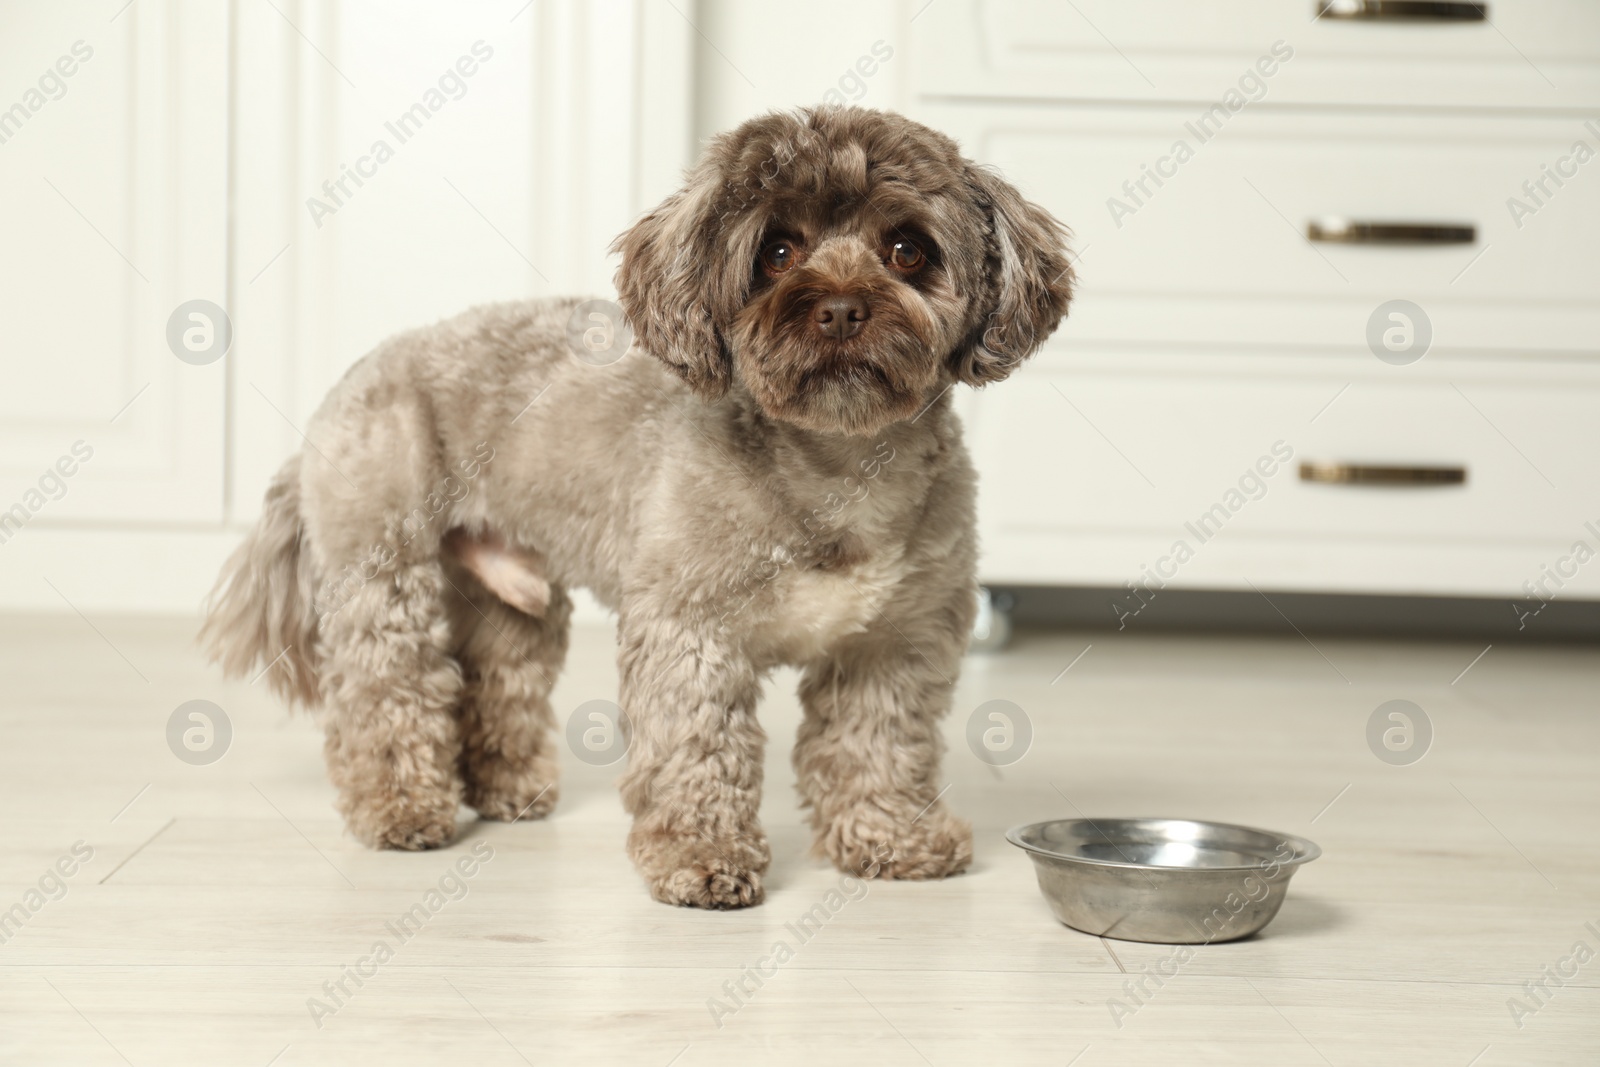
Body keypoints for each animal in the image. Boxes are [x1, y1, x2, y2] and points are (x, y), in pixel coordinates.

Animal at [203, 106, 1075, 908]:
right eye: (777, 251)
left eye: (906, 249)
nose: (838, 308)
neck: (836, 465)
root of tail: (354, 375)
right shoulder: (690, 630)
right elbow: (697, 747)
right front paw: (701, 855)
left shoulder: (892, 644)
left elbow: (881, 747)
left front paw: (890, 836)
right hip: (382, 571)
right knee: (387, 690)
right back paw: (399, 806)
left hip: (512, 598)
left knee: (495, 678)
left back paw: (505, 788)